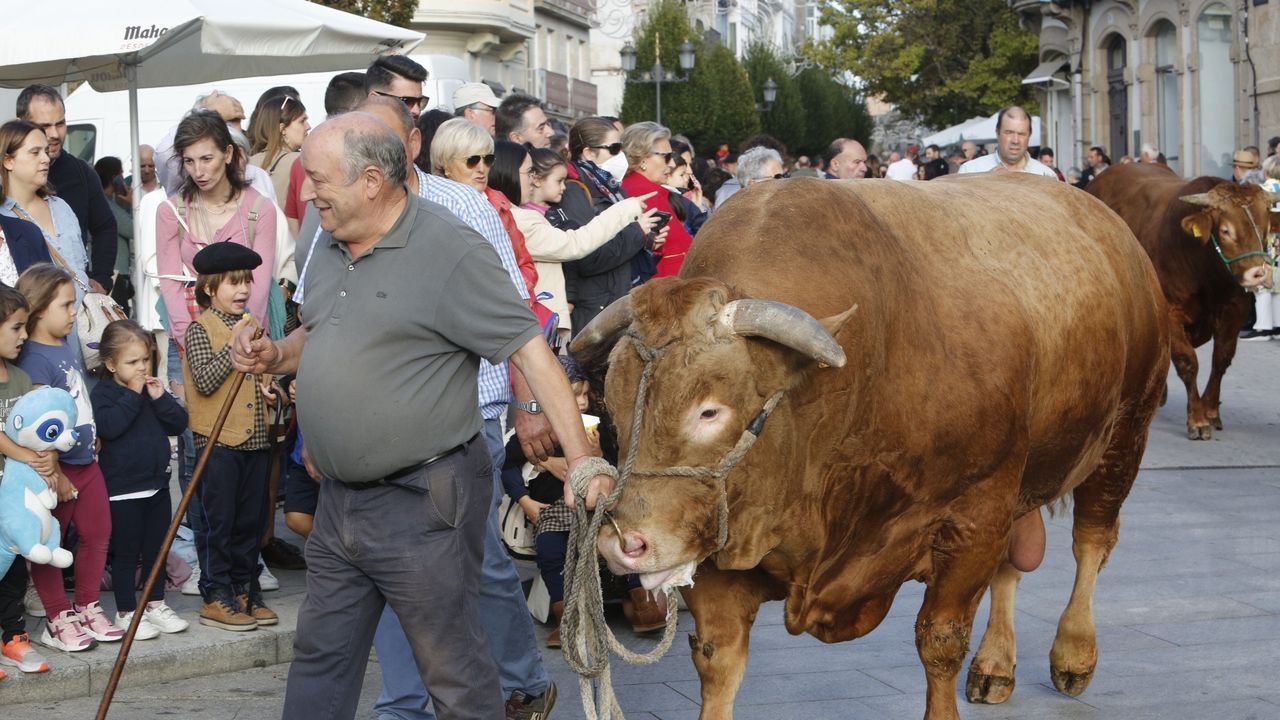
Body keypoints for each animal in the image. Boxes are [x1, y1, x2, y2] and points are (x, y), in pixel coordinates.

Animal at [570, 175, 1172, 717]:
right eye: (612, 401)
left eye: (710, 410)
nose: (624, 544)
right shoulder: (719, 537)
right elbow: (719, 661)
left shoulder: (974, 517)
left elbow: (940, 641)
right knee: (1015, 564)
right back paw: (996, 665)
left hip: (1125, 434)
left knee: (1091, 542)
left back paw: (1074, 653)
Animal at [1085, 163, 1274, 440]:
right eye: (1226, 230)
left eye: (1265, 227)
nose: (1259, 273)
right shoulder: (1170, 313)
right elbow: (1188, 362)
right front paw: (1197, 419)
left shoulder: (1235, 310)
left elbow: (1221, 359)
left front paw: (1210, 411)